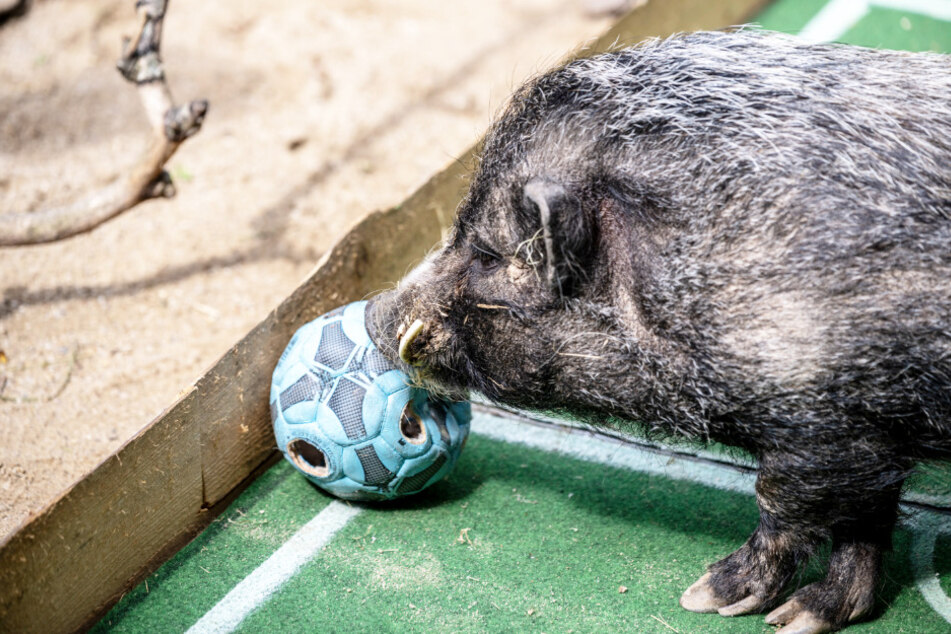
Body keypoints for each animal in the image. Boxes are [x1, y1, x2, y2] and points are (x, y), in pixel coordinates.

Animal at [366, 30, 951, 632]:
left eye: (487, 255)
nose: (374, 314)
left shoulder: (825, 421)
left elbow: (787, 501)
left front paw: (709, 598)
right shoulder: (869, 433)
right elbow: (867, 517)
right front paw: (808, 616)